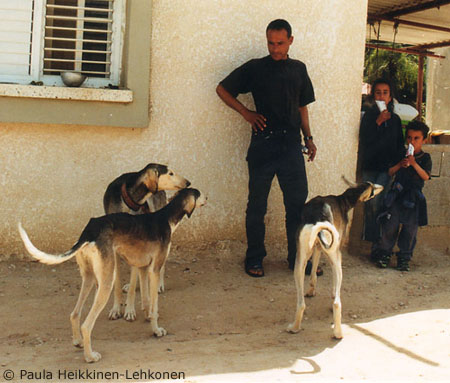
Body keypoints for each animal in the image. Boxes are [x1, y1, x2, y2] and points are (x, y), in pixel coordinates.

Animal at [18, 190, 206, 364]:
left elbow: (146, 300)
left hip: (90, 279)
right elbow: (154, 307)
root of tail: (90, 231)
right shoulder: (154, 269)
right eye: (200, 194)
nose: (208, 198)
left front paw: (146, 317)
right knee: (87, 325)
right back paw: (90, 357)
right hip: (107, 282)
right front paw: (156, 330)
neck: (166, 217)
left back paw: (78, 342)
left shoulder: (143, 267)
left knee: (74, 314)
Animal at [102, 164, 190, 322]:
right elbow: (117, 285)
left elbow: (133, 286)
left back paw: (159, 285)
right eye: (170, 173)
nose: (188, 183)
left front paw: (129, 311)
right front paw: (116, 309)